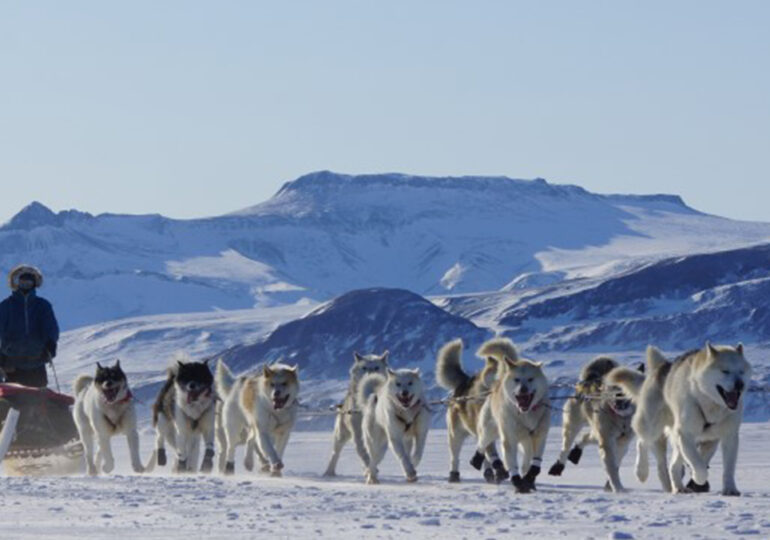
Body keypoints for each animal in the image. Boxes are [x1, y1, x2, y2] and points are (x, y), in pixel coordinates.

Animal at [436, 340, 500, 484]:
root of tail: (465, 381)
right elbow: (491, 454)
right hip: (456, 435)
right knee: (455, 456)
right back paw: (454, 475)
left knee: (483, 453)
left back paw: (489, 472)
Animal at [472, 338, 548, 494]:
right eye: (517, 379)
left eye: (530, 379)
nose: (523, 389)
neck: (525, 414)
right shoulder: (508, 438)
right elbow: (512, 465)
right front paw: (518, 483)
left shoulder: (539, 437)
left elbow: (535, 465)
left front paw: (528, 479)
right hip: (490, 429)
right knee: (483, 443)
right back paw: (476, 458)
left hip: (526, 443)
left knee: (526, 462)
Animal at [544, 356, 636, 492]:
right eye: (613, 386)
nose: (618, 395)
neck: (621, 418)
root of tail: (588, 380)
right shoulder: (607, 441)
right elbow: (612, 468)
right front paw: (618, 488)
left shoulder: (622, 443)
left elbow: (615, 464)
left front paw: (610, 485)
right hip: (573, 425)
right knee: (566, 446)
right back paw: (558, 465)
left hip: (598, 432)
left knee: (586, 437)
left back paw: (576, 451)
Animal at [608, 344, 752, 496]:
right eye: (725, 371)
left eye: (741, 372)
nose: (740, 384)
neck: (710, 404)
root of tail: (662, 366)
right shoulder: (686, 434)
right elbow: (699, 465)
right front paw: (698, 477)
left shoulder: (726, 438)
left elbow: (726, 467)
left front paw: (730, 489)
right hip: (651, 426)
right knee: (642, 442)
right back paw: (641, 471)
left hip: (678, 438)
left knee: (673, 465)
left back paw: (678, 487)